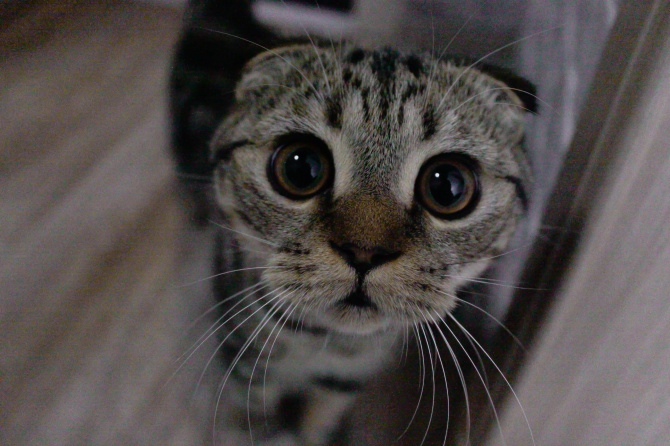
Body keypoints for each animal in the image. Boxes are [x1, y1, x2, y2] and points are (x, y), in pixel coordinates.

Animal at [171, 1, 536, 445]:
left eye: (448, 186)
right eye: (300, 168)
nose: (364, 251)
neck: (325, 344)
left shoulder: (342, 381)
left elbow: (319, 420)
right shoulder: (243, 357)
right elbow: (248, 418)